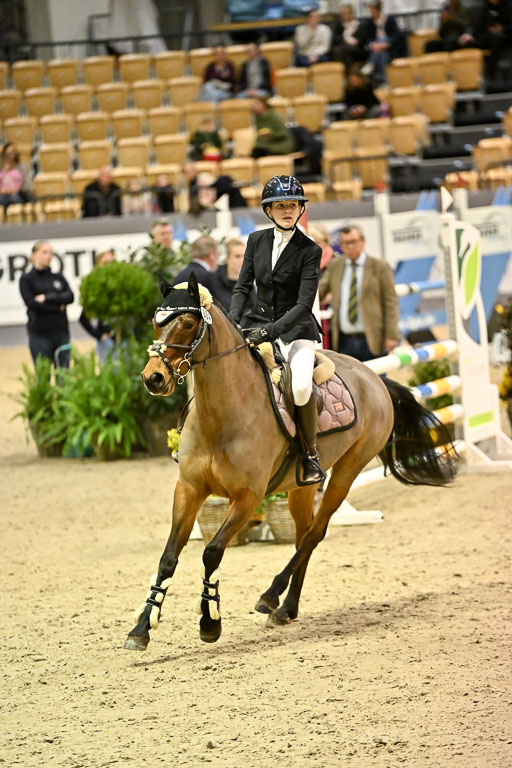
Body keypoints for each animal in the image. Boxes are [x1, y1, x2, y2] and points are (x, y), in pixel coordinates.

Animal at [123, 274, 458, 650]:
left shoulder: (248, 497)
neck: (221, 415)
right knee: (302, 536)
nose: (153, 379)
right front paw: (141, 628)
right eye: (156, 322)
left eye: (188, 323)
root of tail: (374, 378)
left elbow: (212, 552)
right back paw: (288, 607)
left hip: (346, 472)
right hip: (300, 487)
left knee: (314, 533)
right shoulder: (189, 489)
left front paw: (210, 622)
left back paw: (271, 596)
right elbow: (168, 558)